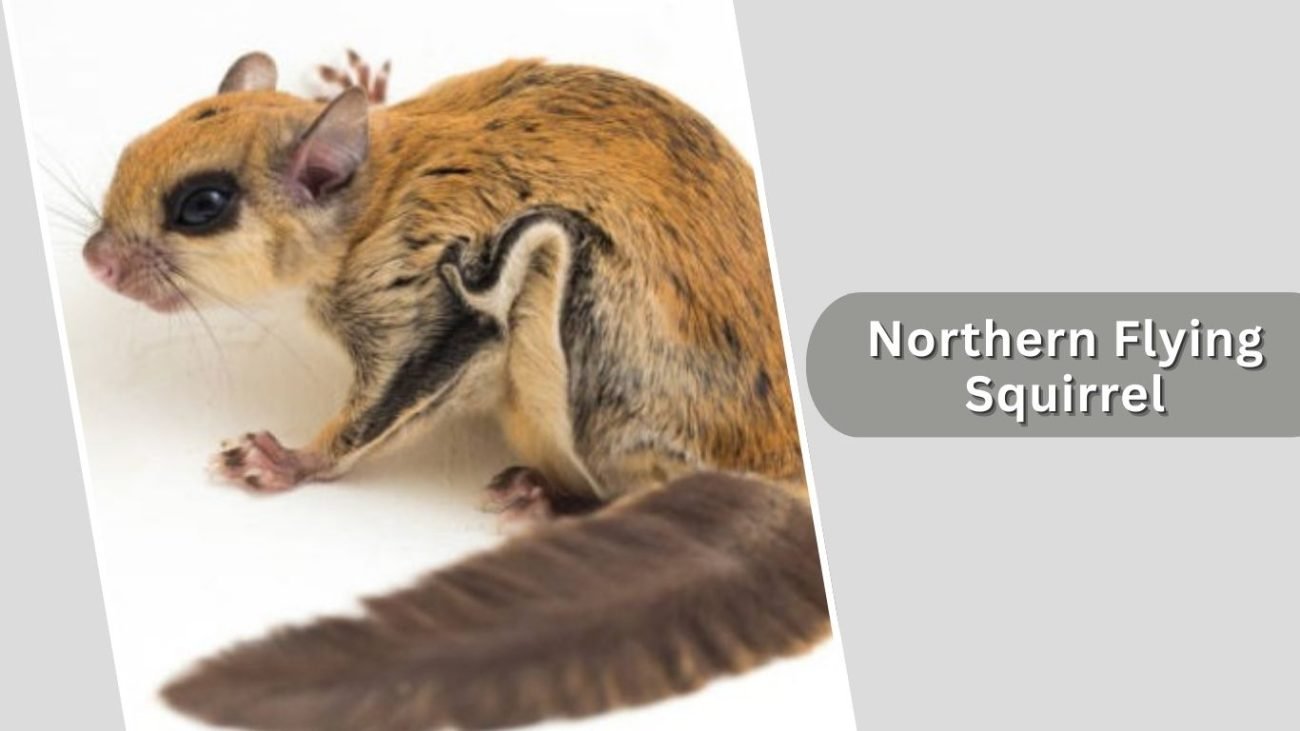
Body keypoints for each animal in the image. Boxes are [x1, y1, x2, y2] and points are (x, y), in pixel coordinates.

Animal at [81, 50, 830, 730]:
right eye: (130, 151)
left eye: (202, 204)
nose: (95, 260)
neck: (374, 195)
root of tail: (775, 471)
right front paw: (360, 82)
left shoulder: (427, 308)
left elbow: (378, 409)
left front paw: (286, 460)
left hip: (560, 290)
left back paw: (547, 499)